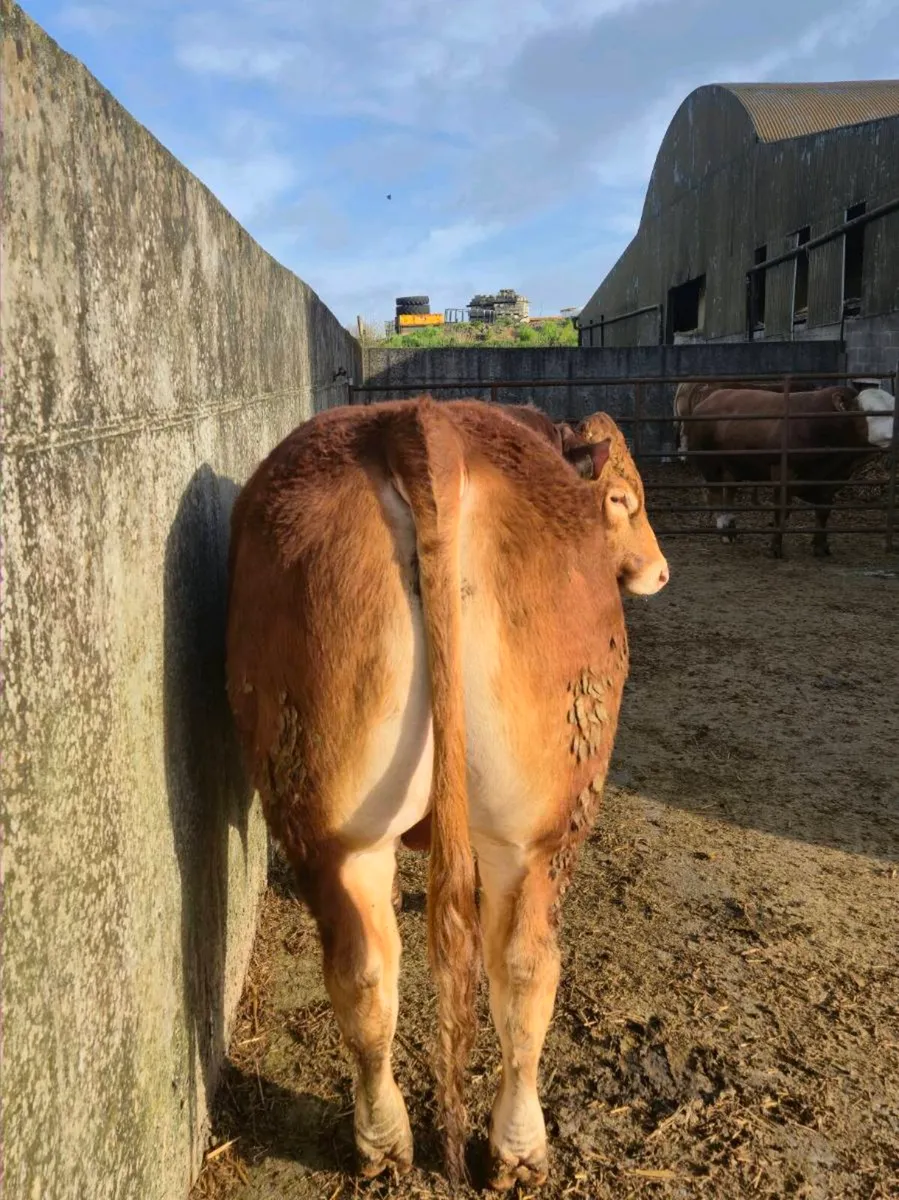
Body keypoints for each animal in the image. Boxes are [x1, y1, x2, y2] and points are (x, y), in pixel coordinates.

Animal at [225, 396, 668, 1190]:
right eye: (622, 499)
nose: (659, 570)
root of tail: (417, 424)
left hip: (336, 820)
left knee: (369, 972)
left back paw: (384, 1146)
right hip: (548, 826)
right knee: (528, 972)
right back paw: (518, 1151)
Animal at [683, 384, 895, 556]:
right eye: (873, 412)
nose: (894, 435)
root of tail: (710, 398)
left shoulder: (831, 479)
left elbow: (823, 512)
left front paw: (821, 547)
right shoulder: (782, 473)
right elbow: (782, 511)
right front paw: (774, 548)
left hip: (733, 467)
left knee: (729, 494)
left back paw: (731, 529)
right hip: (711, 465)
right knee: (716, 495)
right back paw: (725, 530)